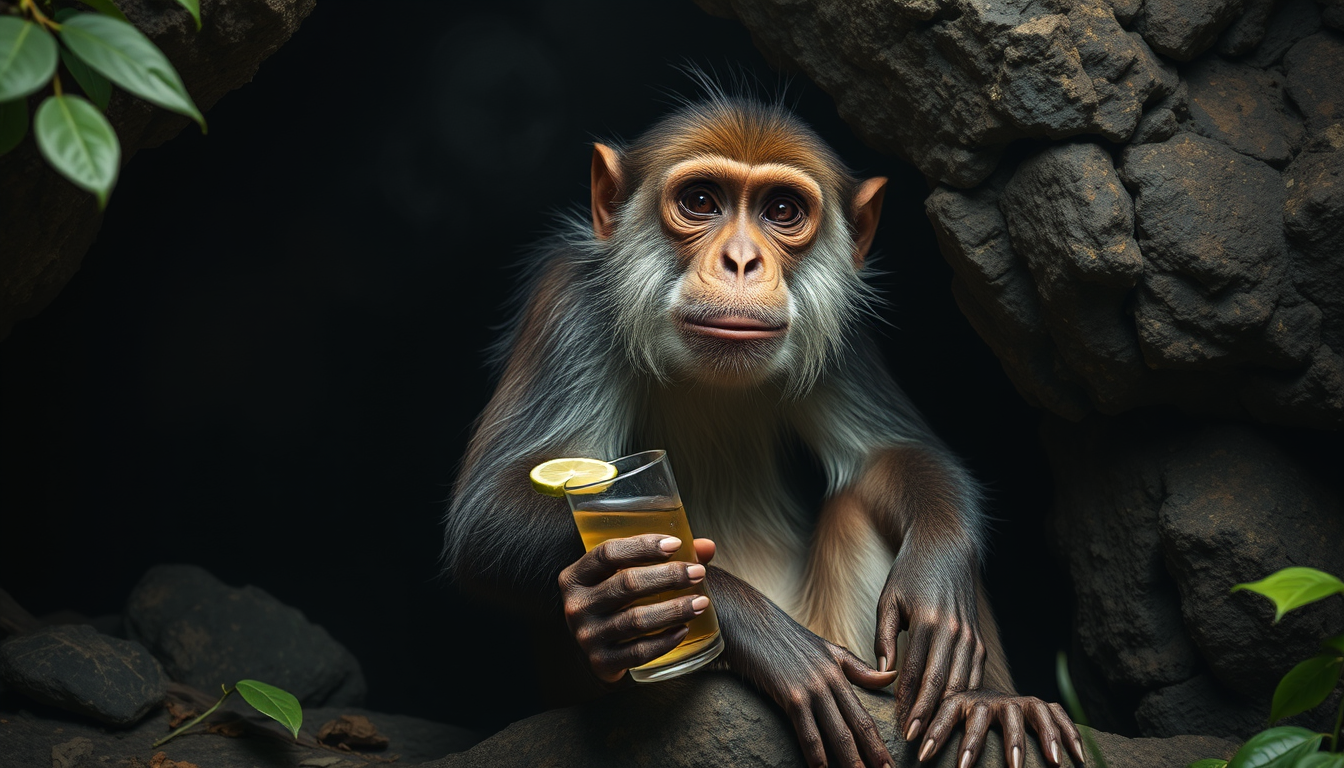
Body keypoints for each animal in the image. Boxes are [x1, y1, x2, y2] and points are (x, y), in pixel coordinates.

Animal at [441, 91, 1084, 768]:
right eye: (701, 201)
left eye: (781, 211)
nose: (743, 260)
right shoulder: (569, 306)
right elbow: (491, 513)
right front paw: (750, 629)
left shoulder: (842, 330)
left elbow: (889, 451)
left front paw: (935, 580)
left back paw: (990, 704)